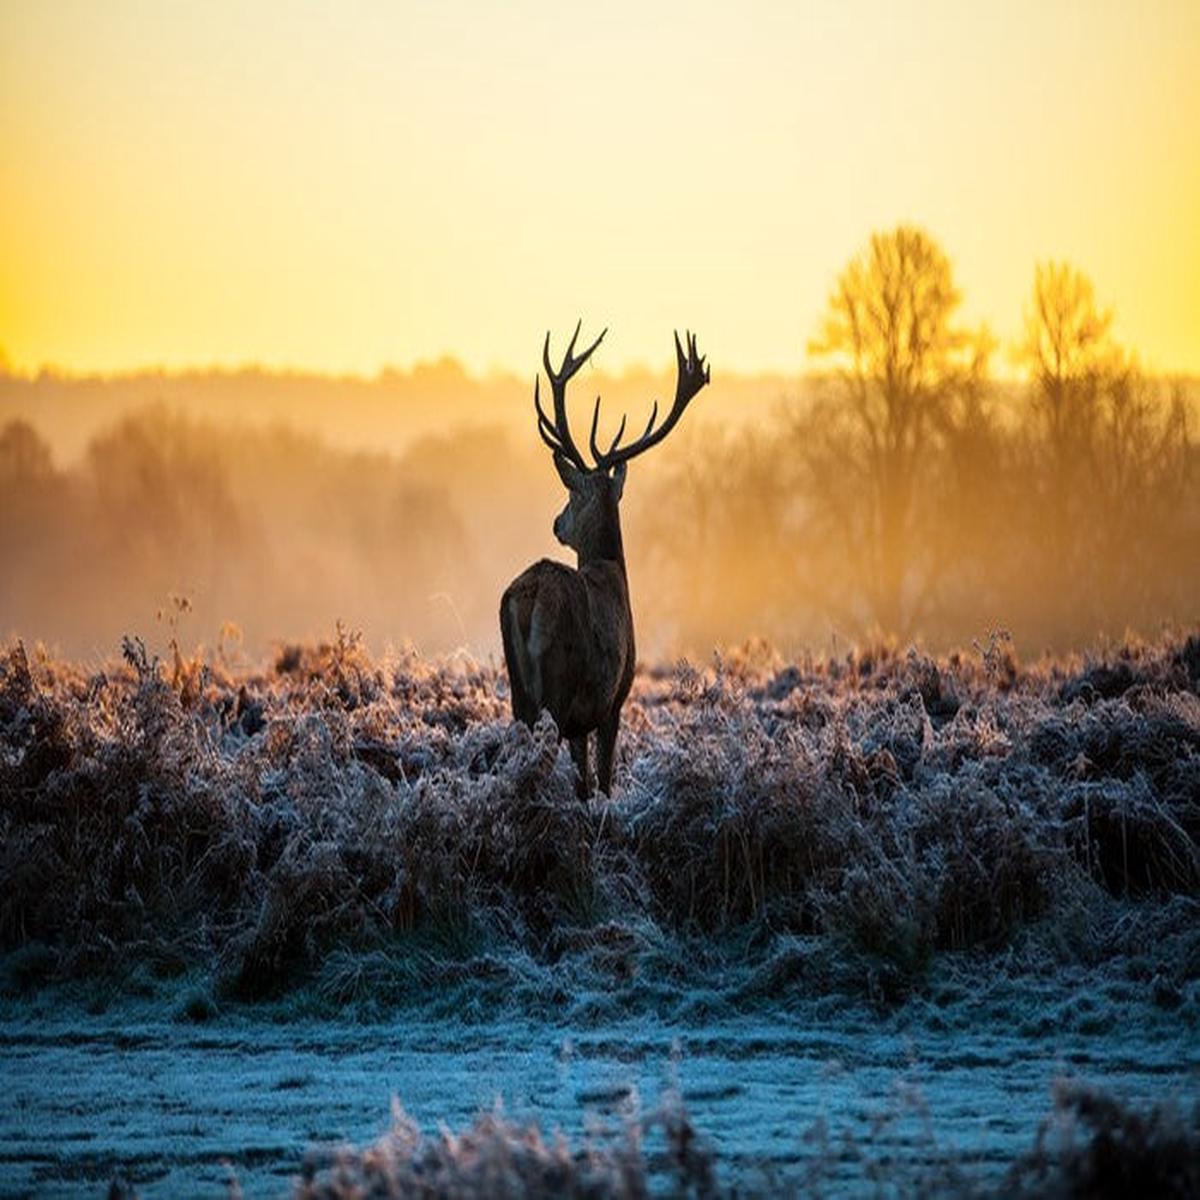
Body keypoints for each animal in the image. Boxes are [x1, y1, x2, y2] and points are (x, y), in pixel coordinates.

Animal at [500, 322, 710, 799]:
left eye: (572, 494)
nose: (557, 523)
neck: (613, 571)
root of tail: (529, 596)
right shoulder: (614, 699)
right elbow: (605, 779)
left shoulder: (587, 717)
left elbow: (585, 781)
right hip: (558, 688)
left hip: (520, 694)